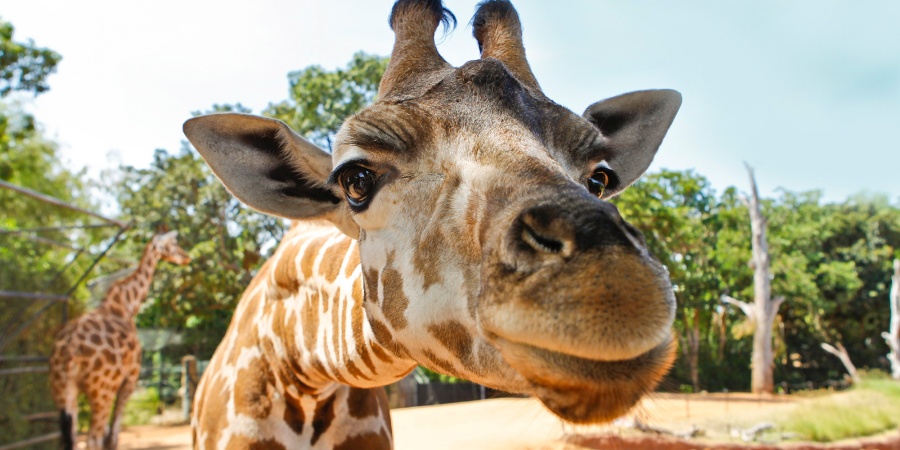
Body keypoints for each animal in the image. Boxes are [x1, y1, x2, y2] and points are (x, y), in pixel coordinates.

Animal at [49, 230, 190, 448]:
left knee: (71, 439)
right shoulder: (130, 378)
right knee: (93, 439)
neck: (127, 305)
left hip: (63, 390)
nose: (186, 256)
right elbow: (113, 437)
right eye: (174, 243)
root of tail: (68, 352)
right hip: (101, 391)